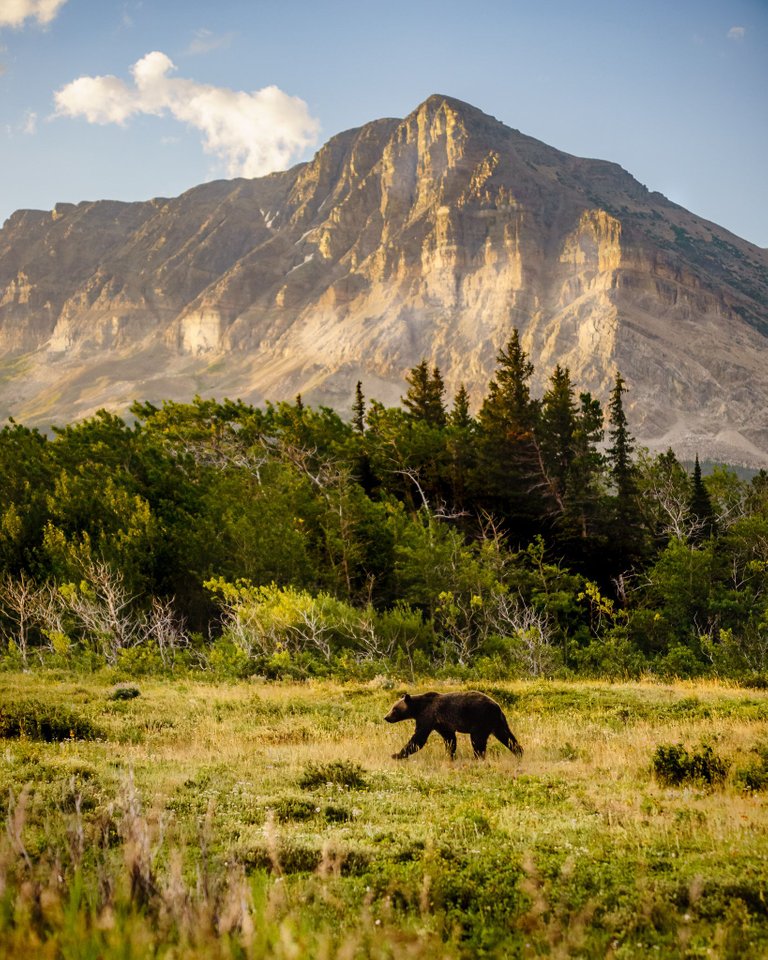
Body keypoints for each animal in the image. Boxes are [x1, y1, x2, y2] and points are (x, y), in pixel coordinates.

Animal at [384, 688, 520, 756]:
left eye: (394, 709)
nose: (386, 717)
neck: (418, 708)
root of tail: (497, 706)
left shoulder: (428, 716)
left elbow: (419, 738)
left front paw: (396, 755)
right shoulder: (442, 724)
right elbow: (450, 739)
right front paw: (450, 754)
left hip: (481, 719)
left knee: (478, 741)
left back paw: (478, 756)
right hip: (498, 722)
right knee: (507, 737)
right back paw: (519, 752)